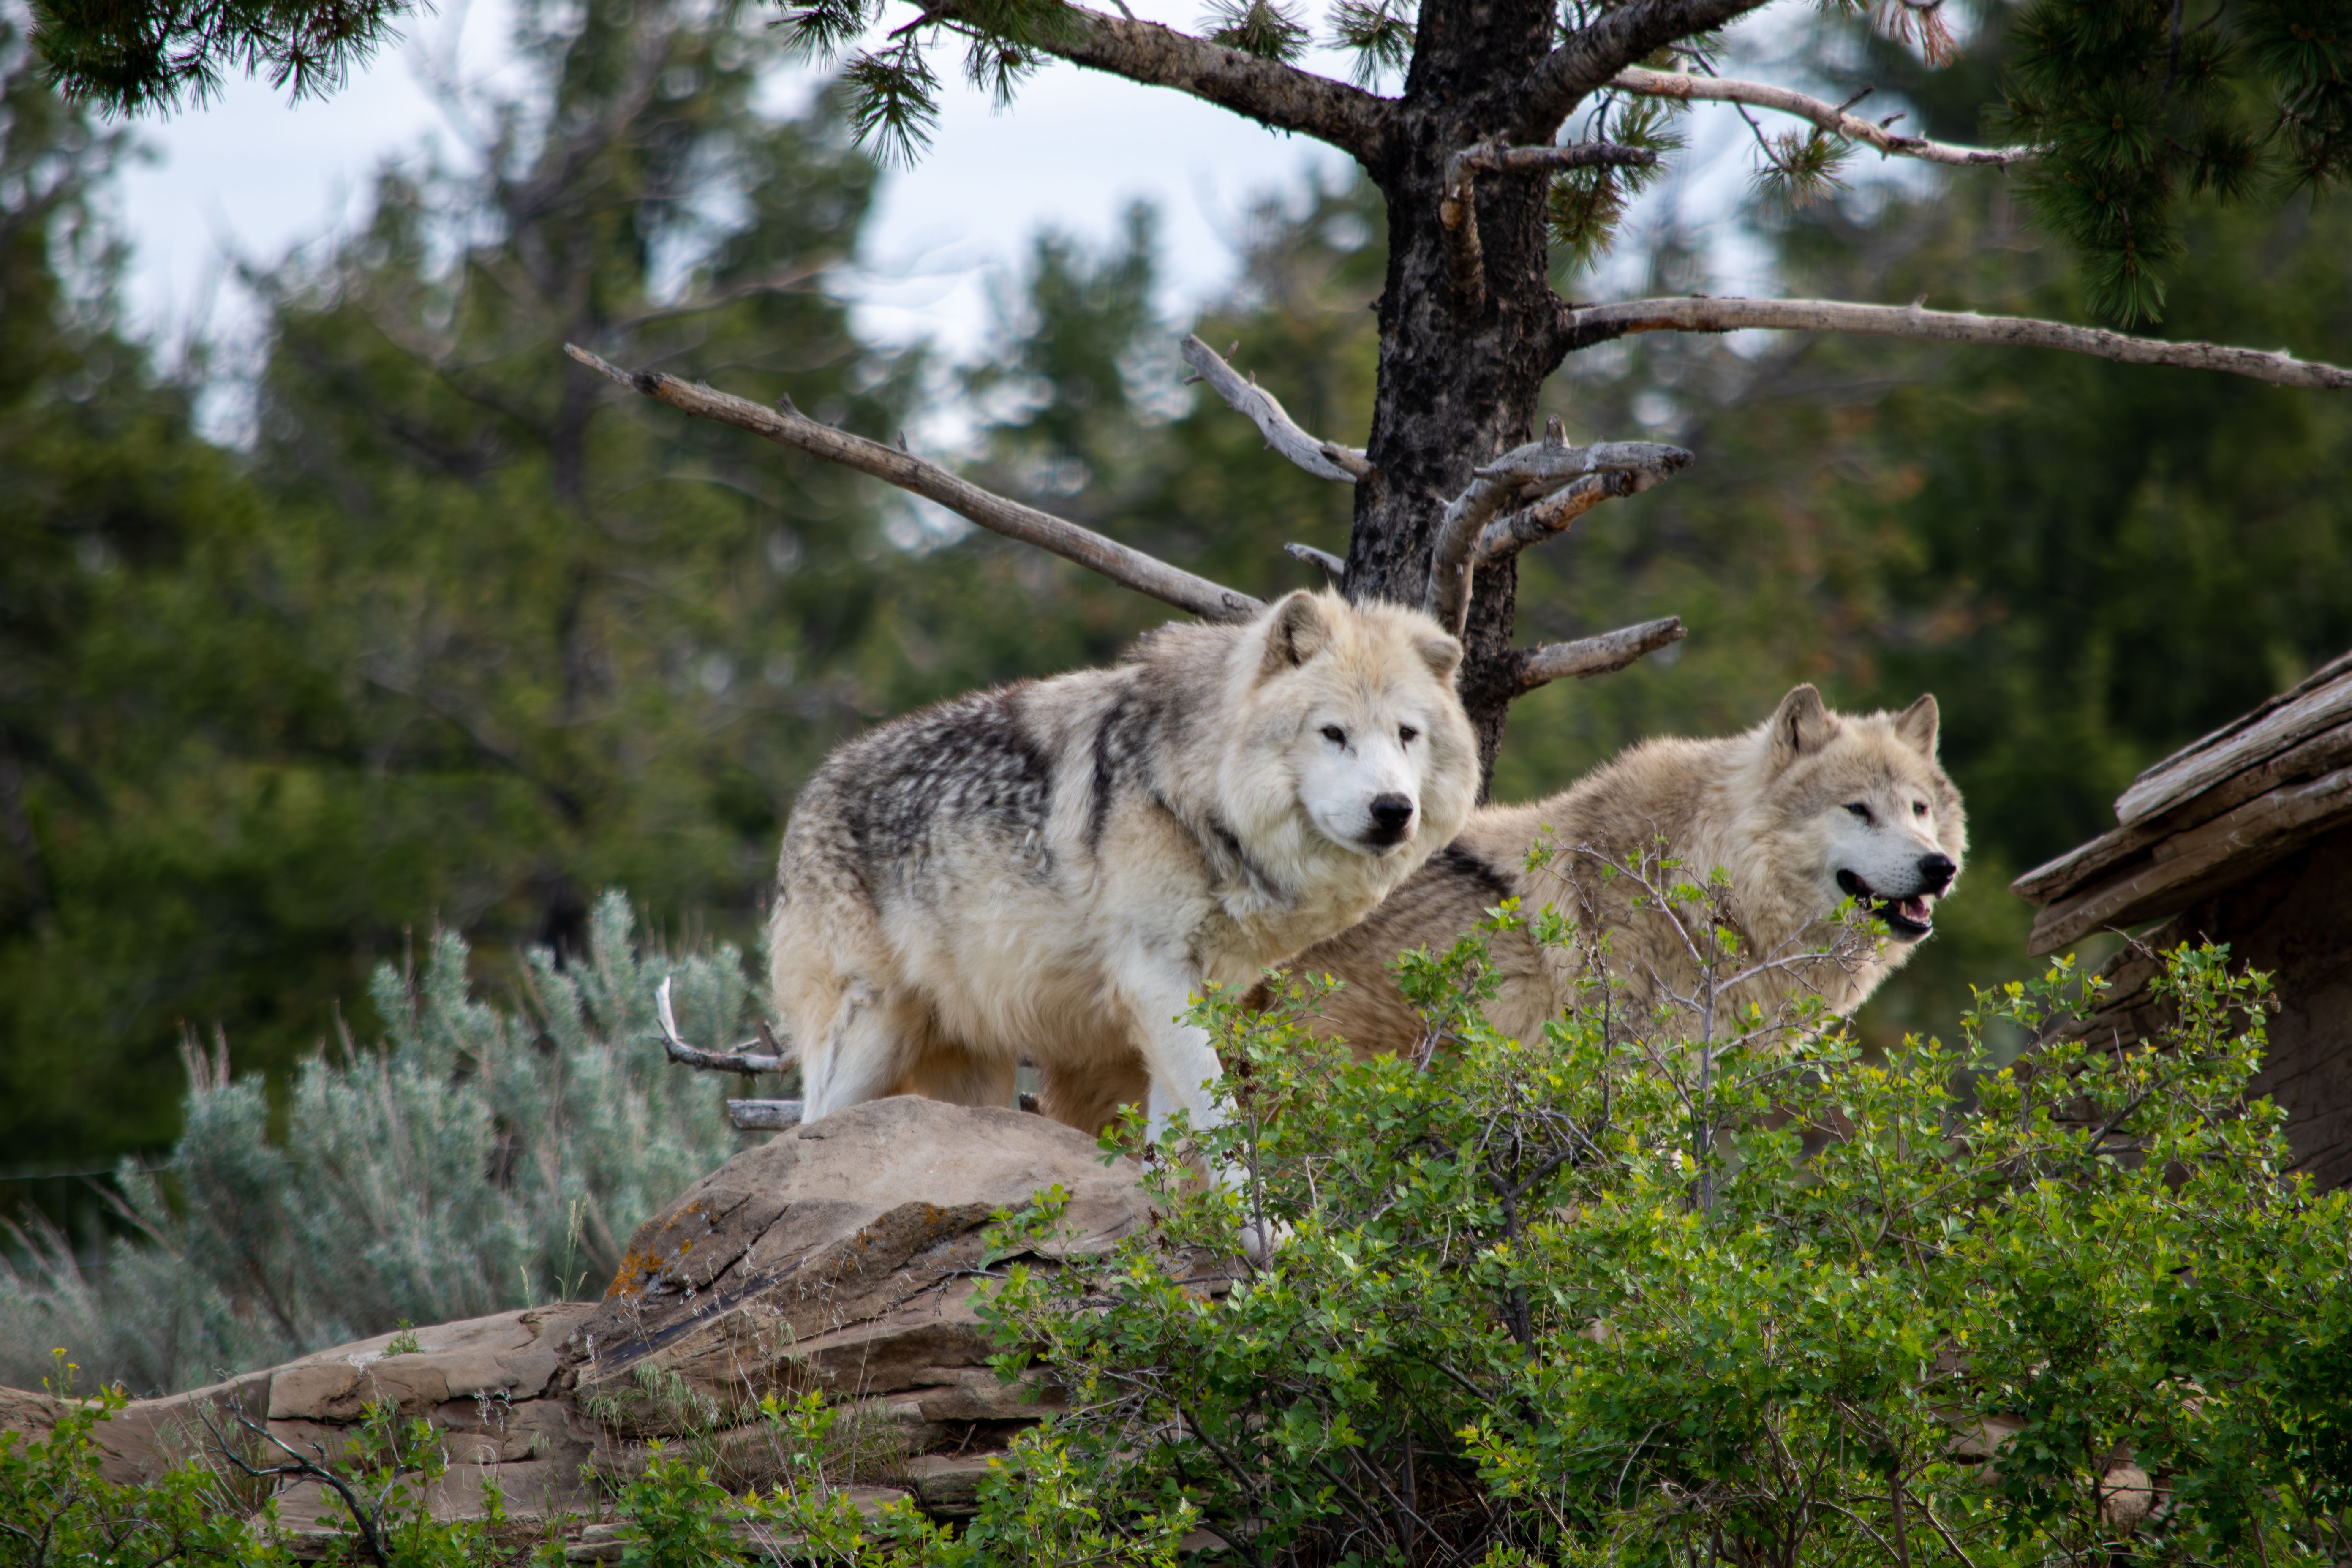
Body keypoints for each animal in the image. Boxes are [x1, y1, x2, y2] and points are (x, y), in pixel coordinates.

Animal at [767, 588, 1482, 1144]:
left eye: (1407, 735)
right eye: (1333, 733)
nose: (1393, 810)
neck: (1195, 791)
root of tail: (810, 791)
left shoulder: (1194, 997)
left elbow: (1176, 1141)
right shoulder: (1153, 980)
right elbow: (1220, 1119)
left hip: (974, 1071)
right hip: (871, 1036)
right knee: (798, 1134)